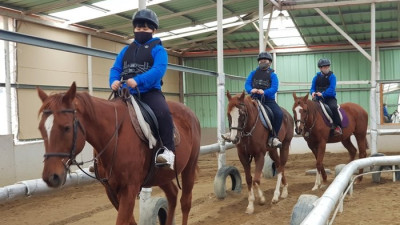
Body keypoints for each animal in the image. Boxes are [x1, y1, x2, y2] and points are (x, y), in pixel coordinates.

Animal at [36, 82, 200, 225]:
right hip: (160, 175)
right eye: (41, 128)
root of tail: (190, 113)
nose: (51, 177)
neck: (115, 136)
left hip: (189, 167)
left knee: (185, 202)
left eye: (66, 127)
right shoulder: (111, 190)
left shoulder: (129, 189)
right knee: (172, 195)